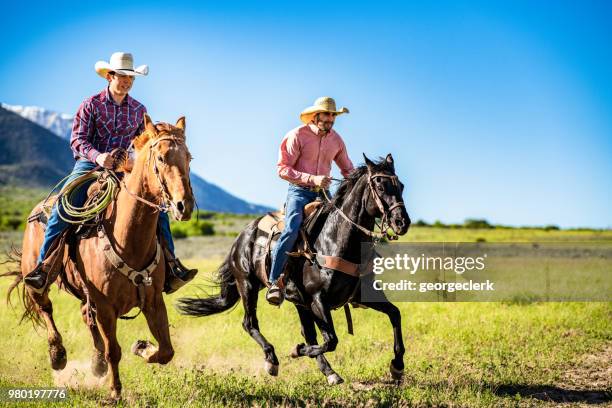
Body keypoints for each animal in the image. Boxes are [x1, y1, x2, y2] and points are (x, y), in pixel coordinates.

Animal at [4, 115, 194, 398]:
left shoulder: (154, 301)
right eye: (160, 158)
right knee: (45, 306)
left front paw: (142, 347)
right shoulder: (105, 306)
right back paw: (58, 356)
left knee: (85, 314)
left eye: (189, 158)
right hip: (36, 277)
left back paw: (96, 364)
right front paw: (115, 392)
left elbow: (166, 351)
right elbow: (113, 350)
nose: (184, 205)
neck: (128, 239)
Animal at [179, 155, 414, 384]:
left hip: (299, 302)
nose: (402, 222)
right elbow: (331, 340)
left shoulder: (361, 295)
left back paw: (330, 372)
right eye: (380, 186)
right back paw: (272, 360)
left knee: (308, 333)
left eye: (401, 185)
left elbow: (395, 314)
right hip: (247, 285)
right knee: (250, 323)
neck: (335, 239)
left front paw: (397, 366)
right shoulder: (318, 300)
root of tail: (242, 236)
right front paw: (296, 350)